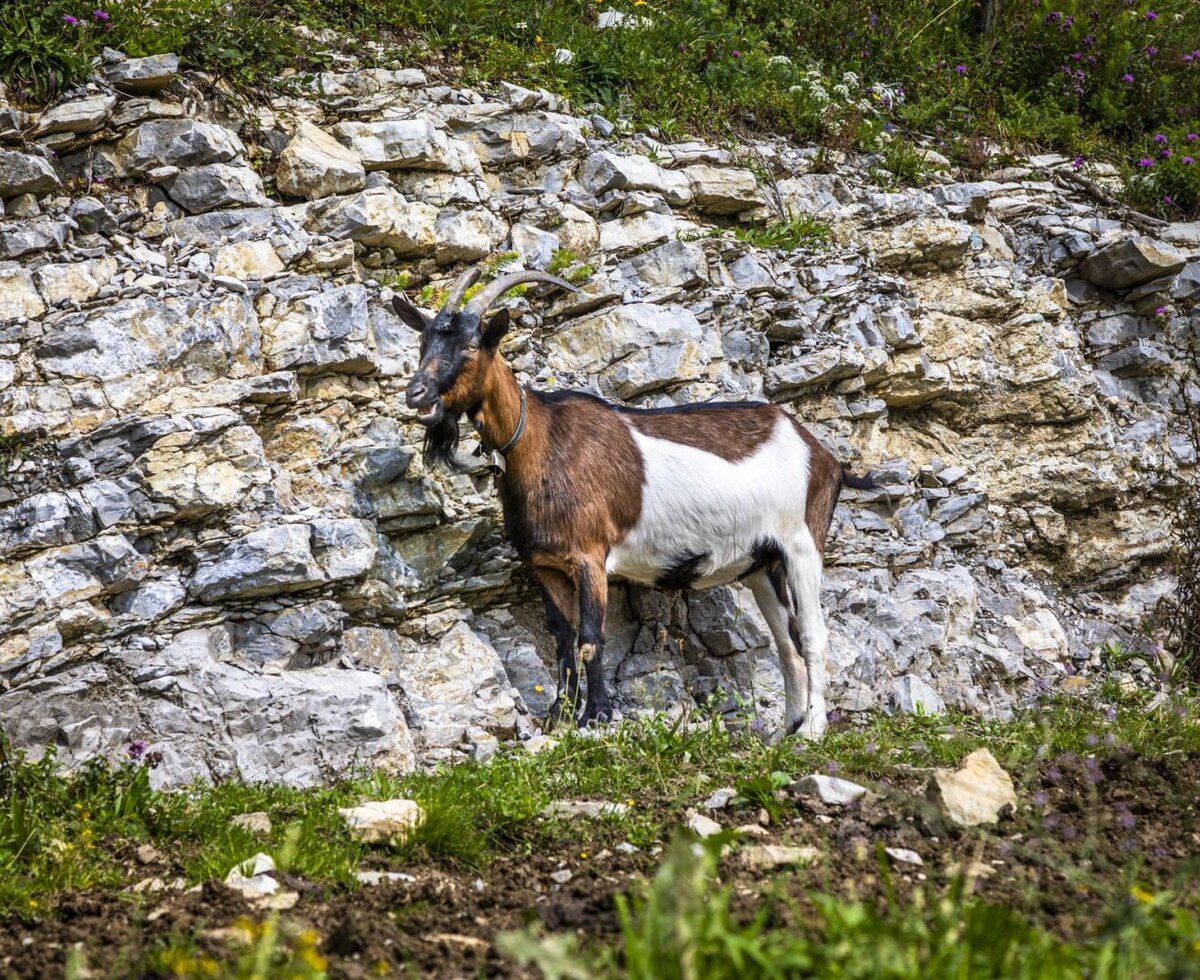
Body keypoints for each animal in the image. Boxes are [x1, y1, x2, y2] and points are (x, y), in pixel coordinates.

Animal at [393, 267, 874, 738]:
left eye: (471, 344)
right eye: (424, 340)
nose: (417, 394)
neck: (542, 441)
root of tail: (825, 456)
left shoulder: (589, 556)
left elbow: (591, 638)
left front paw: (596, 716)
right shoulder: (545, 565)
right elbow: (562, 638)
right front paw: (558, 716)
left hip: (802, 543)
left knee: (812, 635)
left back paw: (812, 731)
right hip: (763, 563)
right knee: (786, 641)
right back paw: (784, 733)